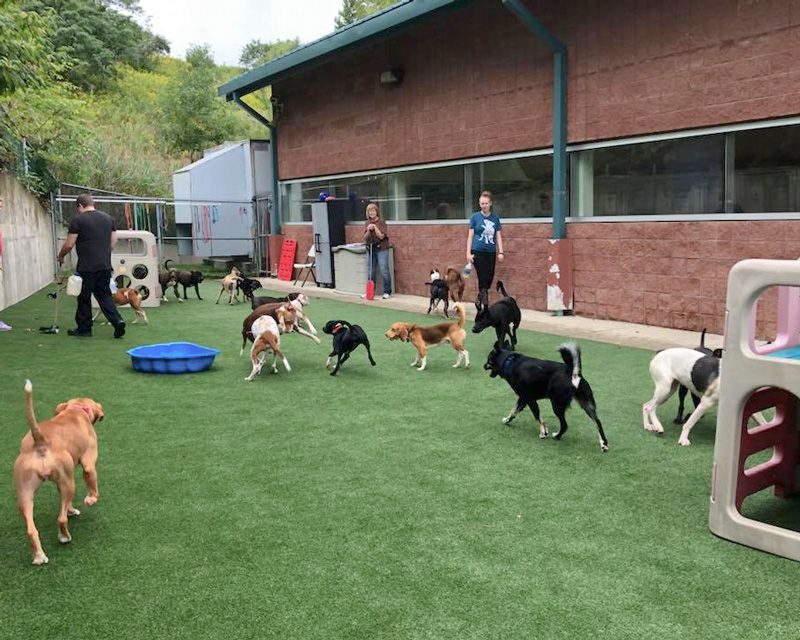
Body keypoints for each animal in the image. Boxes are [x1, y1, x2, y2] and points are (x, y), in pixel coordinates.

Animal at [14, 380, 105, 564]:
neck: (76, 409)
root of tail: (40, 441)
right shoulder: (88, 463)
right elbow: (92, 481)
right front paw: (91, 499)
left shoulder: (60, 482)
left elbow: (65, 502)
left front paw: (70, 509)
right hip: (68, 481)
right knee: (61, 519)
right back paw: (64, 537)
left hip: (26, 490)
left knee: (31, 529)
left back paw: (39, 556)